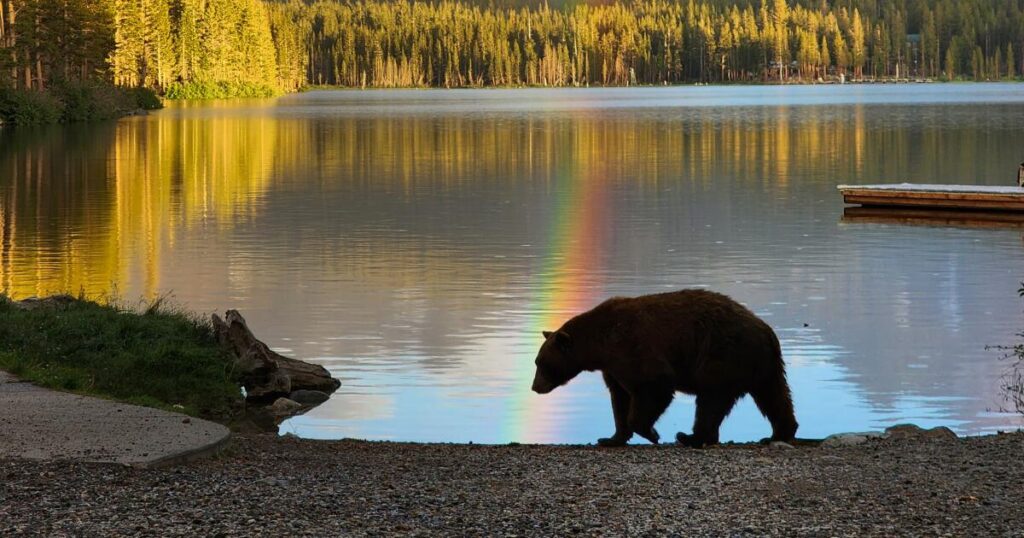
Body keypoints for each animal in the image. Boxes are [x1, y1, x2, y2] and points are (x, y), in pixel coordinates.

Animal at [531, 289, 798, 447]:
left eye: (541, 363)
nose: (534, 387)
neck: (599, 345)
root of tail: (767, 331)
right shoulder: (613, 368)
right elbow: (619, 398)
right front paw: (611, 437)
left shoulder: (632, 347)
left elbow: (653, 386)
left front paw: (651, 433)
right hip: (763, 365)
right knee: (774, 396)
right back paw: (779, 432)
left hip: (722, 355)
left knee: (711, 400)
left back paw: (691, 437)